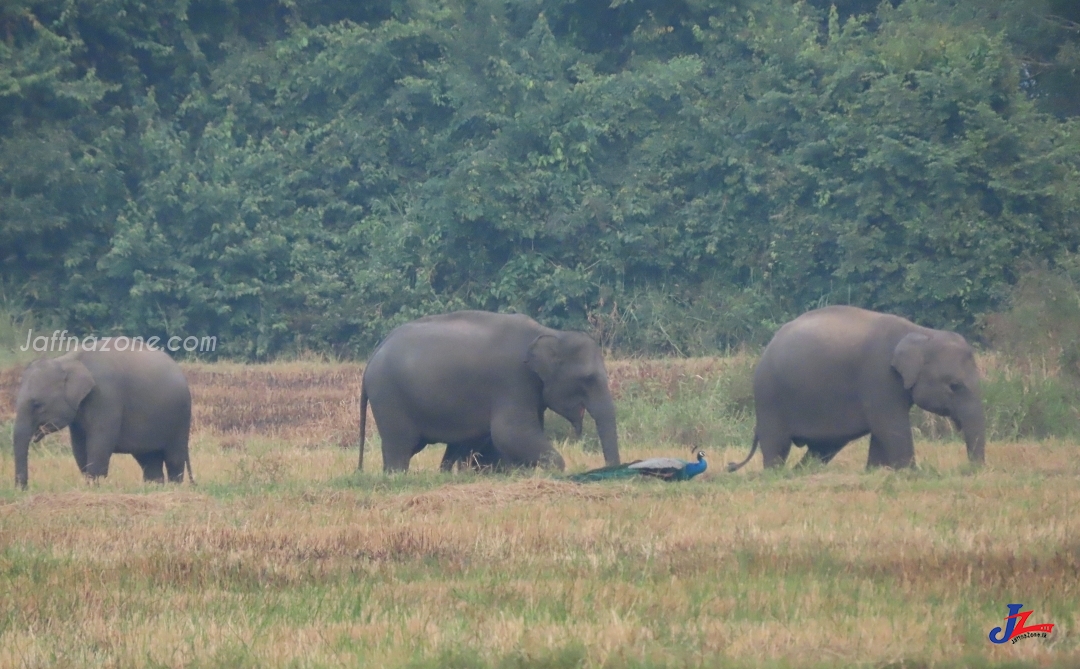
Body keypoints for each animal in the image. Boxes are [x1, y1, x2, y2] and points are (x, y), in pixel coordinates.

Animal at [12, 348, 194, 488]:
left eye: (37, 404)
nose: (23, 489)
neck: (68, 360)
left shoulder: (106, 397)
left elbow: (99, 441)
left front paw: (95, 486)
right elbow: (79, 445)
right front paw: (89, 484)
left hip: (180, 419)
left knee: (174, 458)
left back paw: (173, 487)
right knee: (149, 459)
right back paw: (154, 487)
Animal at [358, 311, 622, 473]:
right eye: (588, 378)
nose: (609, 469)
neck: (552, 333)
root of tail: (372, 357)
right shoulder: (513, 381)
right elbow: (510, 433)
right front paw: (552, 468)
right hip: (389, 399)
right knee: (400, 447)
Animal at [725, 306, 989, 473]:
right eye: (954, 386)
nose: (970, 469)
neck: (922, 333)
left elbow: (883, 430)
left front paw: (875, 471)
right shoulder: (878, 376)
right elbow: (889, 425)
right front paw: (911, 472)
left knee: (823, 448)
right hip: (770, 397)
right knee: (777, 443)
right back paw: (775, 474)